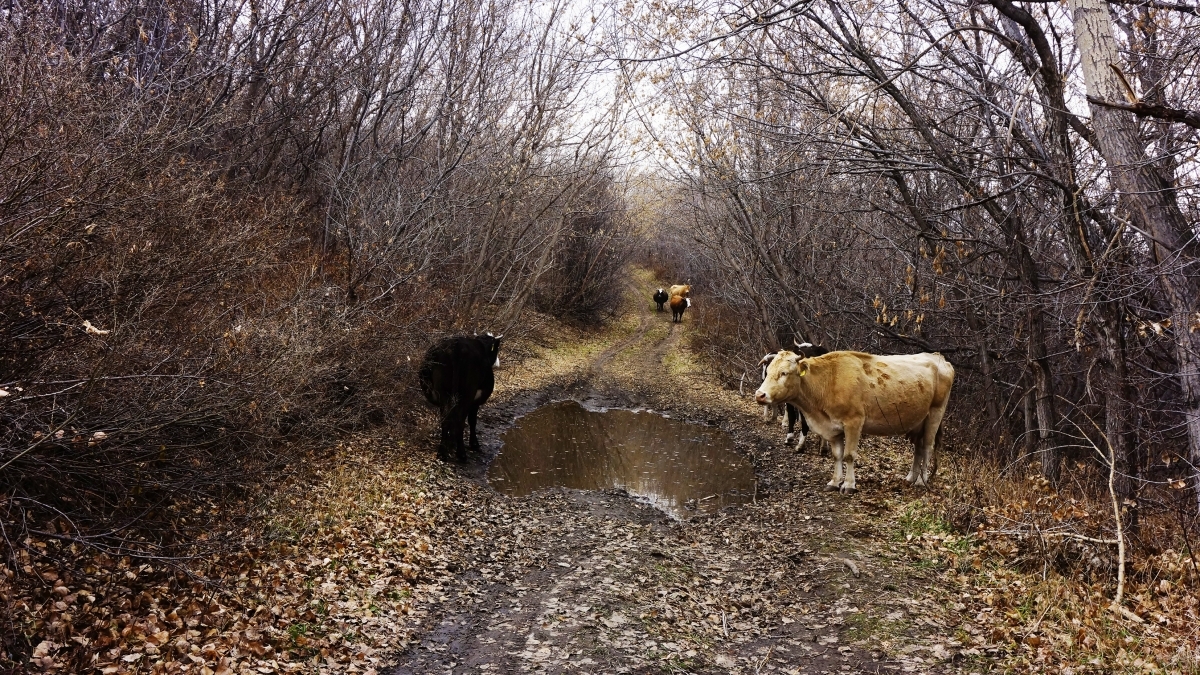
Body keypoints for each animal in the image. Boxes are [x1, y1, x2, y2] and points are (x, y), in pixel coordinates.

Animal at [753, 348, 950, 492]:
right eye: (768, 371)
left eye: (784, 373)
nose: (760, 395)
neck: (828, 381)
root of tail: (937, 356)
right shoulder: (833, 428)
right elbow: (837, 455)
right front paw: (834, 482)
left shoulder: (854, 422)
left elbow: (849, 455)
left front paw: (848, 485)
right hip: (918, 422)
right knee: (918, 448)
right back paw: (910, 478)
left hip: (935, 414)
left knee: (927, 447)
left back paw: (921, 482)